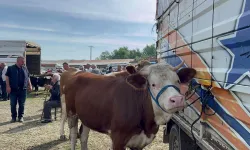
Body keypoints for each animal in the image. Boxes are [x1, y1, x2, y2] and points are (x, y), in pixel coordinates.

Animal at [62, 61, 195, 150]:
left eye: (178, 81)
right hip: (71, 113)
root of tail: (76, 72)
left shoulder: (140, 143)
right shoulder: (117, 140)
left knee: (84, 136)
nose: (177, 99)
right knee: (73, 136)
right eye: (153, 84)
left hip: (87, 116)